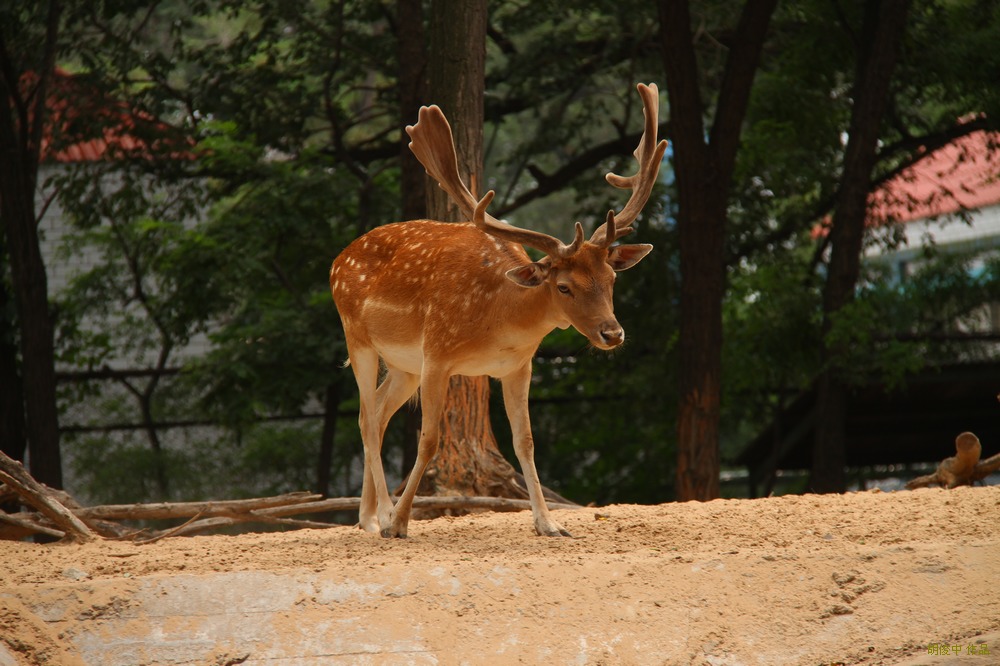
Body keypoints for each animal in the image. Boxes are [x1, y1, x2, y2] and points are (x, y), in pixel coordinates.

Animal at [332, 83, 668, 536]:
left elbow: (525, 440)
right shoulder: (437, 354)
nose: (612, 334)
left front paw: (549, 524)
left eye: (612, 278)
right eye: (564, 286)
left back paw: (367, 518)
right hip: (359, 340)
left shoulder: (518, 366)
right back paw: (383, 516)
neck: (497, 320)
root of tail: (336, 260)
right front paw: (401, 522)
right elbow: (430, 439)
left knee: (378, 414)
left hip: (403, 366)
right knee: (367, 419)